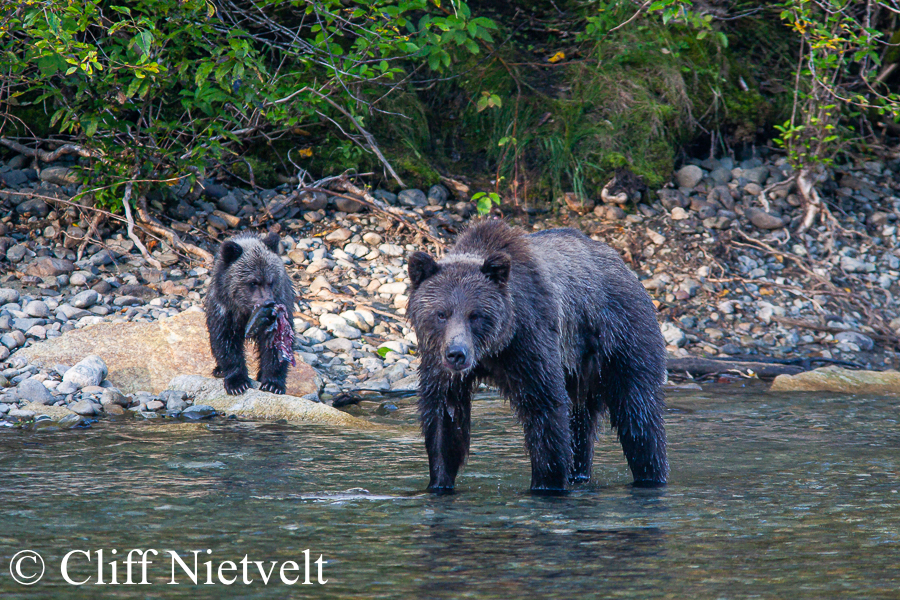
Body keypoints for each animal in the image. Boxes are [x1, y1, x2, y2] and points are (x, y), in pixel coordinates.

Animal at [204, 232, 296, 396]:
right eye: (253, 282)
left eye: (271, 281)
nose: (268, 302)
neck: (246, 311)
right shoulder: (224, 311)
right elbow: (225, 343)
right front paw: (237, 383)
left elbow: (276, 345)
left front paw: (272, 383)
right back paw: (219, 370)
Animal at [408, 220, 668, 492]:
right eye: (441, 314)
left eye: (475, 315)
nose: (456, 354)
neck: (493, 350)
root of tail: (626, 268)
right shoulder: (438, 363)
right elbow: (444, 418)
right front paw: (438, 482)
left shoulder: (530, 342)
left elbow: (545, 408)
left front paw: (547, 484)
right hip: (579, 368)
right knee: (581, 422)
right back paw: (580, 473)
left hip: (620, 335)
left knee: (638, 412)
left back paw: (650, 475)